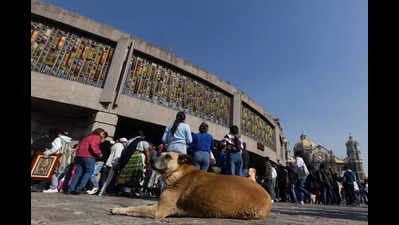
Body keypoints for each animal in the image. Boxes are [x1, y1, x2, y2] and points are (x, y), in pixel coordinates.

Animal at [111, 152, 274, 219]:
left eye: (168, 156)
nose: (150, 161)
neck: (178, 172)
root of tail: (267, 196)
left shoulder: (159, 210)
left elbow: (136, 208)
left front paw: (119, 209)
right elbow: (140, 205)